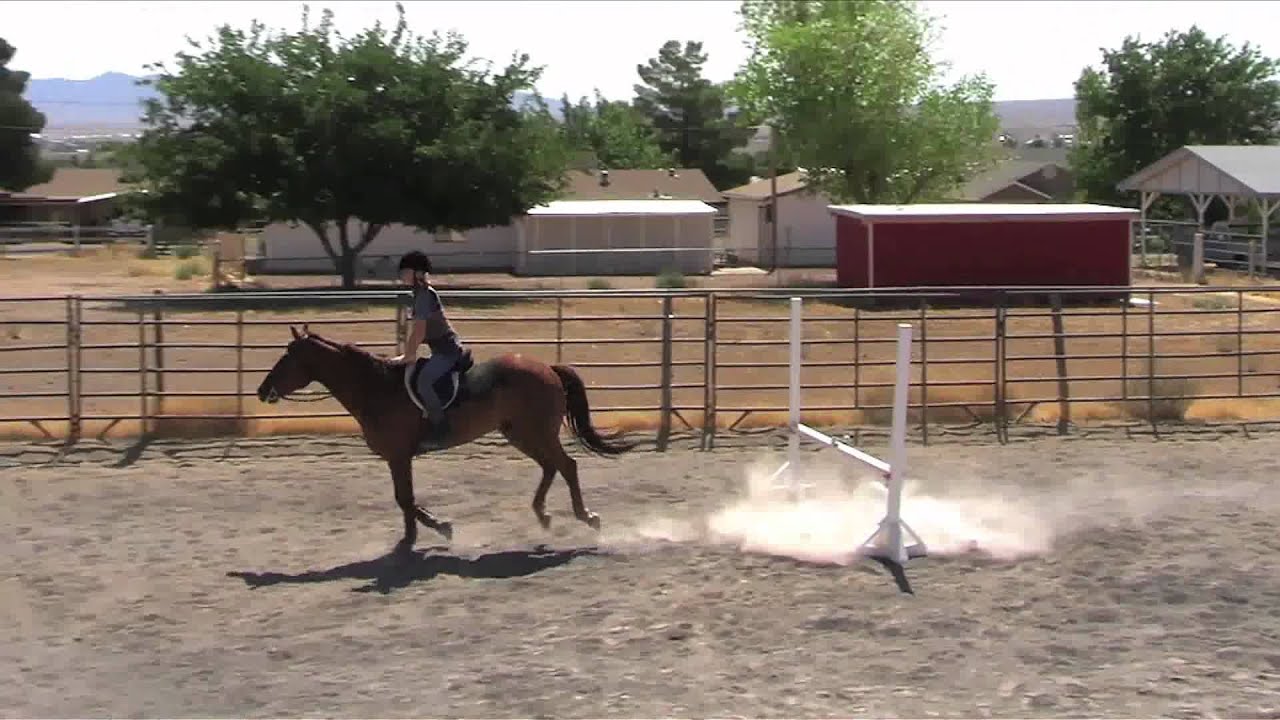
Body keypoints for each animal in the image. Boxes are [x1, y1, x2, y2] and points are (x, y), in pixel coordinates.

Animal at [255, 325, 634, 547]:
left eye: (288, 357)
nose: (262, 390)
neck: (375, 388)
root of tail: (548, 368)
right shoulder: (397, 458)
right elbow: (405, 499)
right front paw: (421, 533)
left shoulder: (399, 456)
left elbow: (404, 499)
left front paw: (429, 532)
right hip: (520, 433)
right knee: (550, 467)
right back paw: (543, 516)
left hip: (537, 431)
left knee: (567, 466)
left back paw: (587, 518)